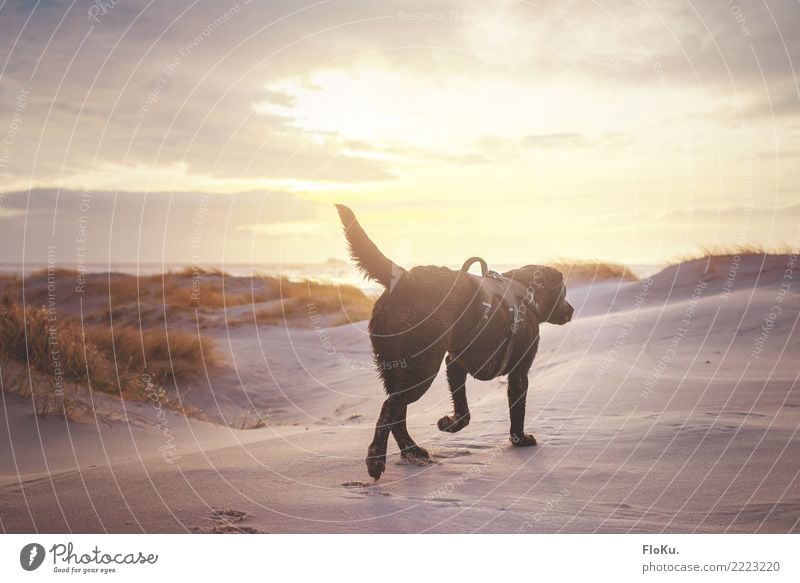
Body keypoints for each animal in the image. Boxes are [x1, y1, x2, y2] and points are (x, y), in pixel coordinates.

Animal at [334, 204, 572, 480]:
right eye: (563, 293)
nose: (572, 310)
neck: (526, 291)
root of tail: (406, 279)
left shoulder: (455, 364)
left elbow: (464, 412)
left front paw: (450, 424)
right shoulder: (519, 373)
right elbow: (517, 411)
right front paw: (520, 439)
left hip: (396, 368)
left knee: (397, 411)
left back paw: (411, 450)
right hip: (422, 368)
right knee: (390, 407)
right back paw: (376, 460)